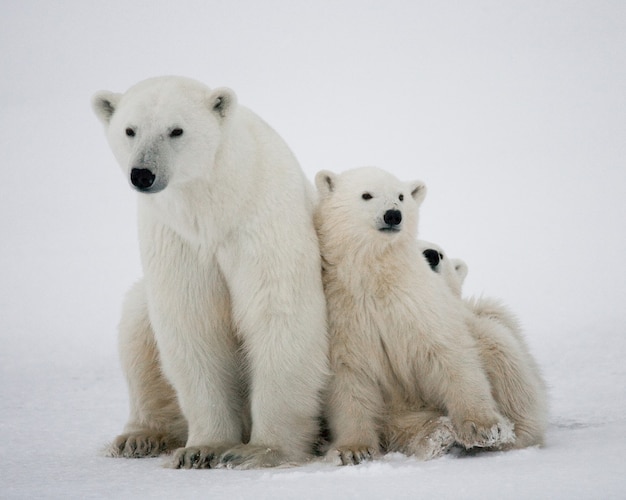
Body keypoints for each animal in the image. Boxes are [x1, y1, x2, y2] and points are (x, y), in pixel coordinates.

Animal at [94, 75, 326, 468]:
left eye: (176, 130)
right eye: (129, 130)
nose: (143, 174)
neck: (214, 208)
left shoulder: (260, 223)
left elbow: (278, 314)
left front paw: (259, 451)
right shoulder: (178, 239)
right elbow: (193, 323)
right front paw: (202, 449)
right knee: (138, 328)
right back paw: (138, 437)